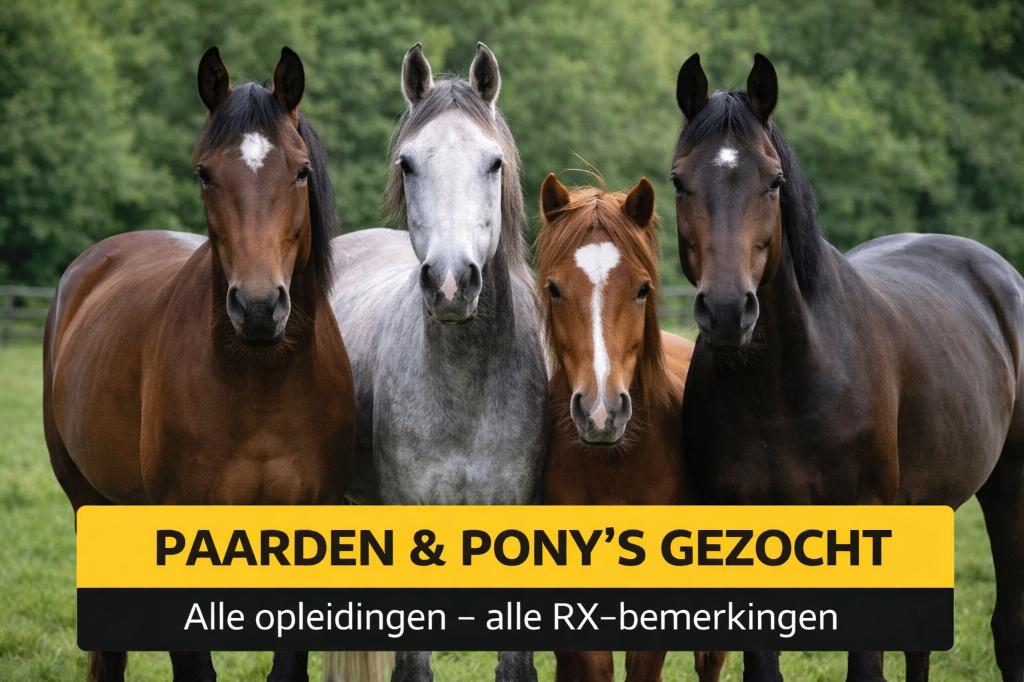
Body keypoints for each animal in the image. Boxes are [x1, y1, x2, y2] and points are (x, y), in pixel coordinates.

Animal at [671, 52, 1024, 682]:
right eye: (679, 181)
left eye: (774, 180)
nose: (728, 311)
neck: (782, 386)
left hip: (1011, 483)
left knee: (1008, 629)